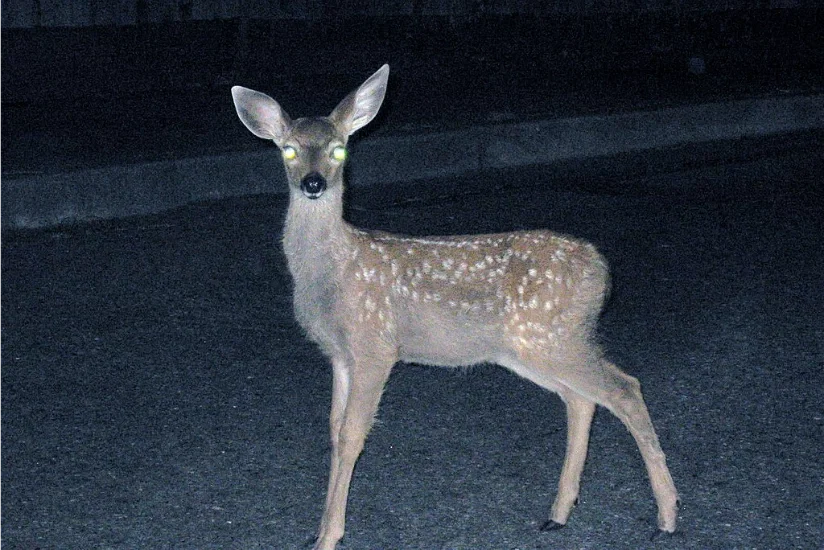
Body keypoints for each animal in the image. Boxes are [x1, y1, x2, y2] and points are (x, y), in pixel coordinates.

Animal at [231, 65, 679, 550]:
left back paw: (667, 515)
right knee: (581, 399)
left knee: (624, 388)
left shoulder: (375, 345)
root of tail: (602, 270)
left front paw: (330, 536)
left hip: (552, 337)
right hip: (532, 347)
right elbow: (333, 429)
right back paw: (558, 514)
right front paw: (320, 528)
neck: (333, 274)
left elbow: (353, 434)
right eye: (289, 150)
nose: (313, 184)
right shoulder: (339, 355)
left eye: (340, 150)